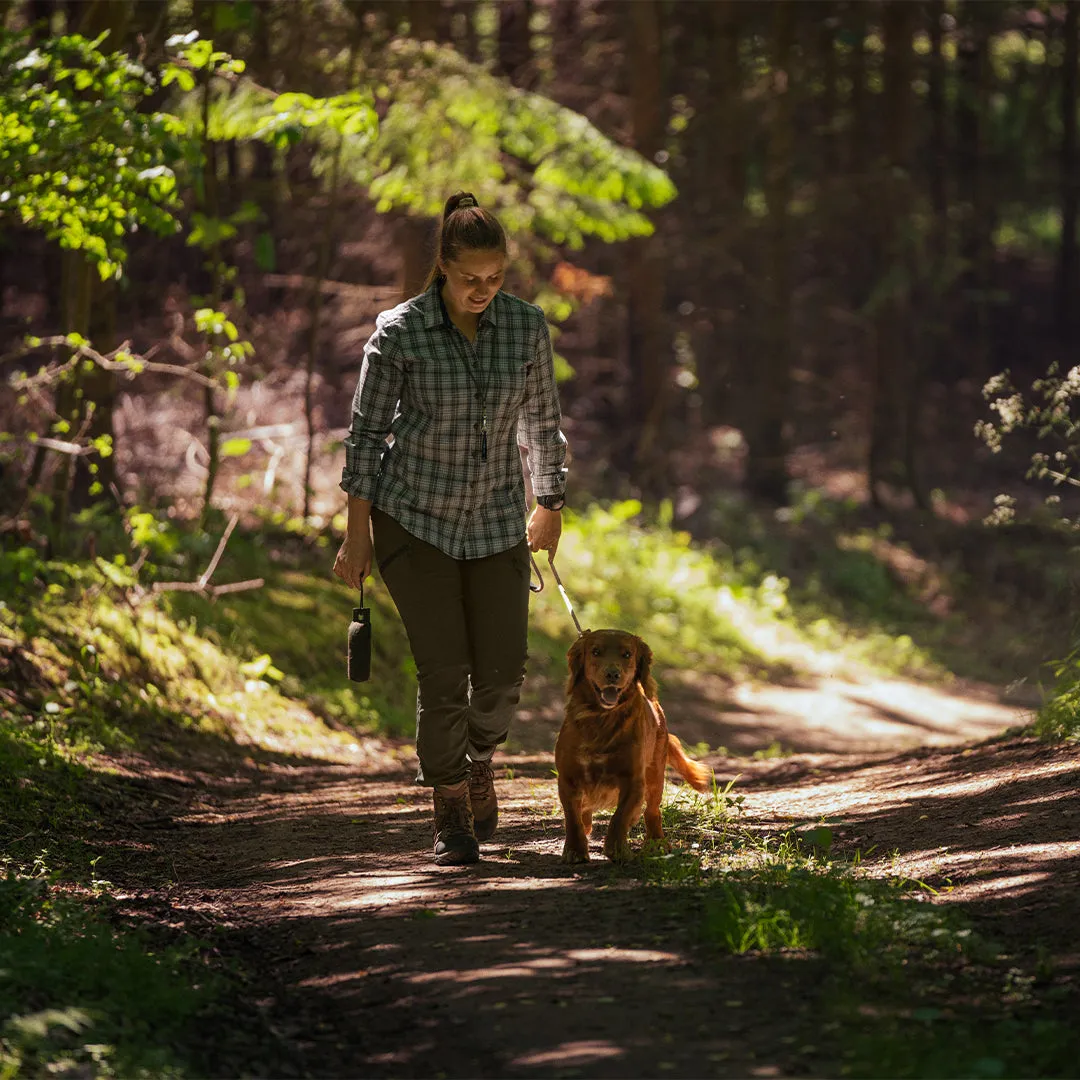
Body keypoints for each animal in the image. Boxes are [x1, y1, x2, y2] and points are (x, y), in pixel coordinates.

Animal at [552, 630, 712, 864]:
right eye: (595, 652)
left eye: (627, 654)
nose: (612, 674)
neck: (601, 719)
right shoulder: (568, 777)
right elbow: (573, 818)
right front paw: (575, 851)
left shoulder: (634, 780)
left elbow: (620, 817)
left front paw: (618, 849)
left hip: (655, 776)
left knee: (652, 811)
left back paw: (657, 842)